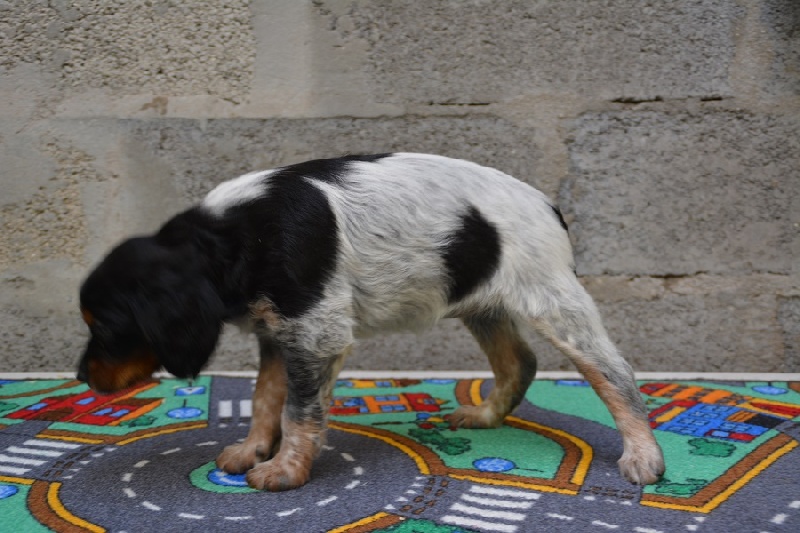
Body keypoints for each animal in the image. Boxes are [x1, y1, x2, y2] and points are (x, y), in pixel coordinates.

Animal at [77, 153, 665, 491]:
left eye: (104, 328)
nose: (82, 376)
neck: (229, 237)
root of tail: (549, 205)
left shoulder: (315, 332)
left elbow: (298, 411)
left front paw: (285, 471)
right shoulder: (278, 332)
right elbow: (265, 400)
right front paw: (252, 451)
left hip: (552, 300)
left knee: (614, 373)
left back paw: (644, 456)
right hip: (485, 304)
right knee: (519, 361)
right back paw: (485, 416)